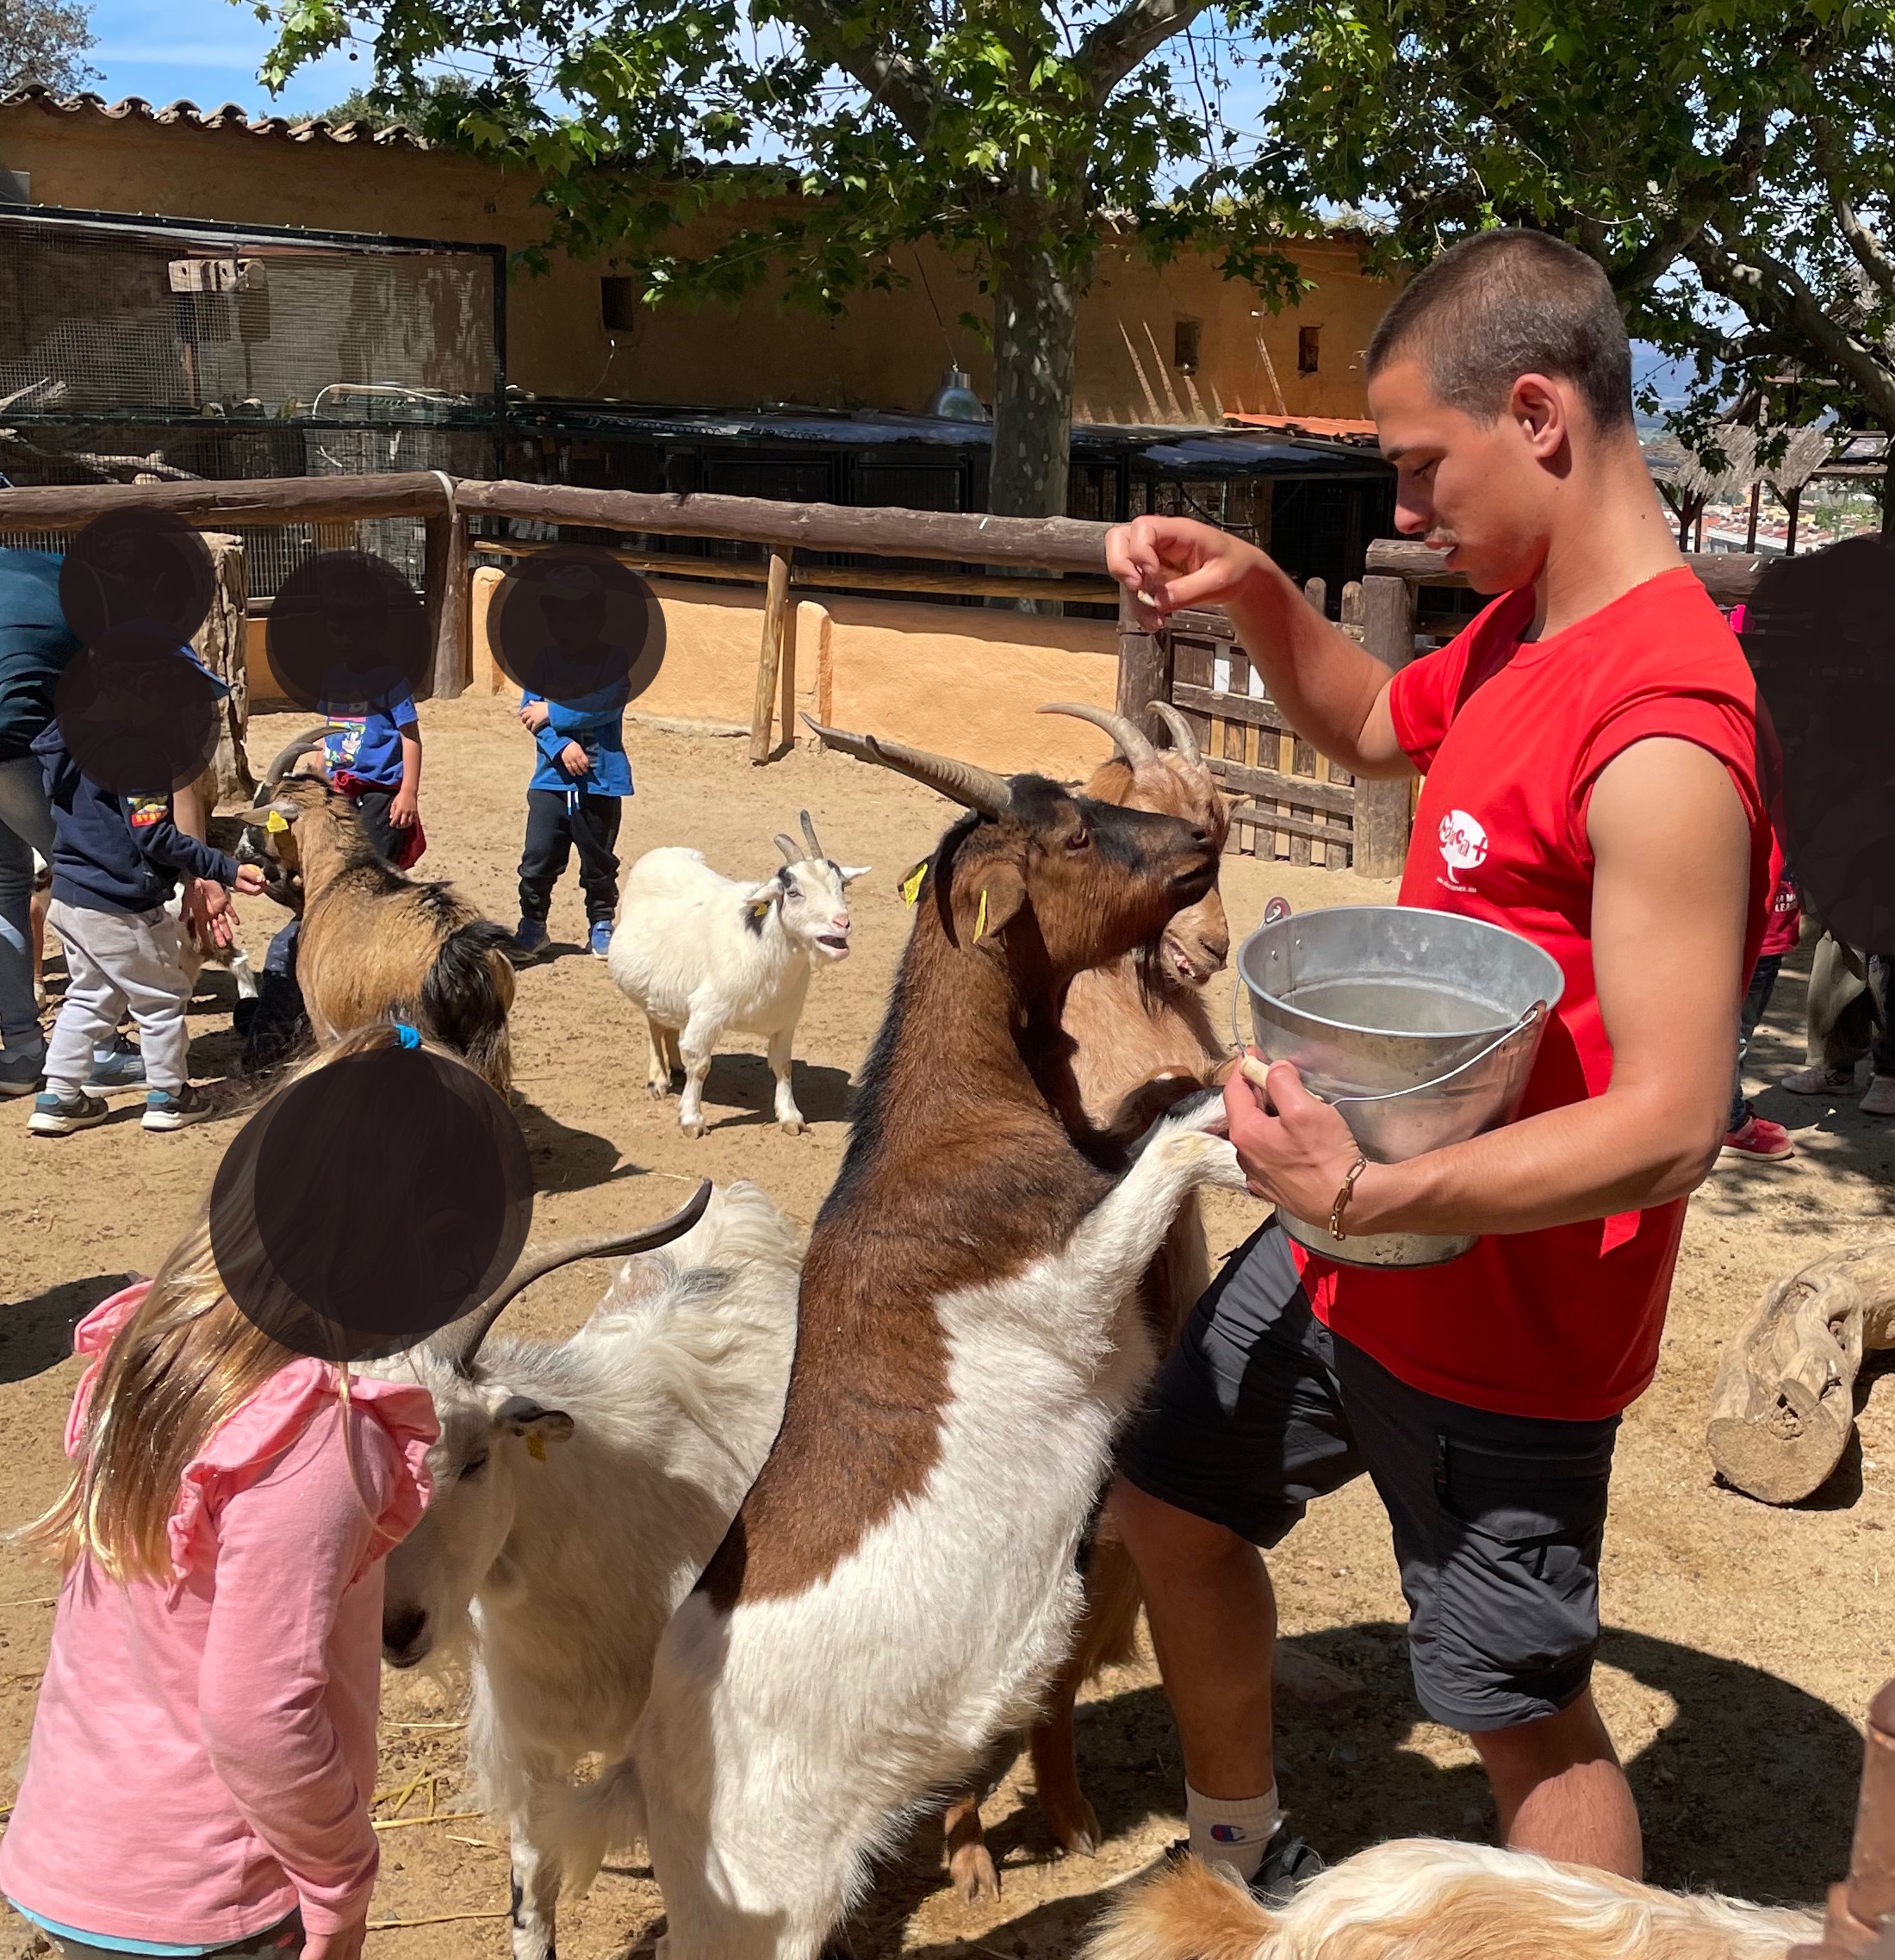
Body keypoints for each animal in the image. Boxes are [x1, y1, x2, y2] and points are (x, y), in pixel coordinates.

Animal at [611, 811, 870, 1144]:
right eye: (793, 892)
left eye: (842, 887)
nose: (842, 923)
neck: (760, 948)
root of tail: (662, 852)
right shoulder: (707, 1011)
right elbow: (701, 1065)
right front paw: (691, 1120)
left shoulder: (786, 1018)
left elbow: (783, 1064)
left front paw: (790, 1117)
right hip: (648, 987)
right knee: (655, 1025)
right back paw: (658, 1080)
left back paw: (676, 1066)